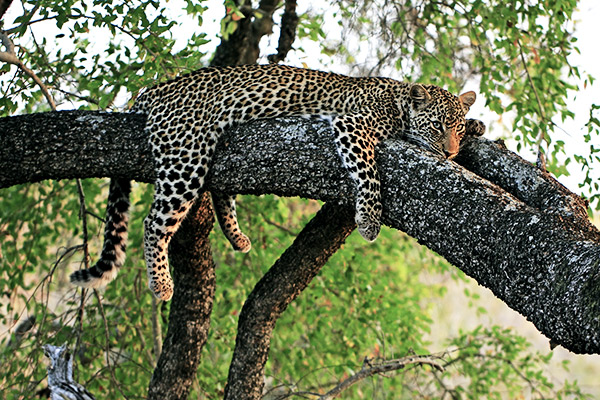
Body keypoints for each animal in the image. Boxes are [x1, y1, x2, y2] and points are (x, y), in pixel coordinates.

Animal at [70, 63, 486, 300]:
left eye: (455, 129)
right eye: (436, 126)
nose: (450, 153)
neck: (399, 99)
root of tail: (153, 89)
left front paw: (478, 126)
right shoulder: (352, 126)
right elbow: (369, 174)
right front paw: (369, 220)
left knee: (218, 190)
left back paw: (237, 237)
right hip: (186, 153)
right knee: (154, 222)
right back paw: (161, 284)